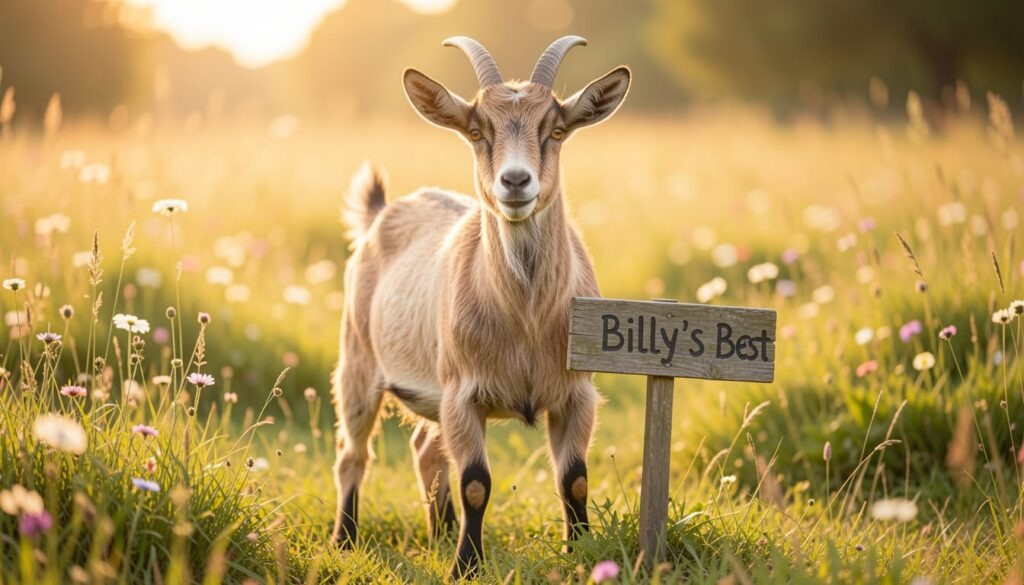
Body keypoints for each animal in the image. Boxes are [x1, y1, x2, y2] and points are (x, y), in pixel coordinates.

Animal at [331, 36, 630, 579]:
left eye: (555, 130)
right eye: (477, 131)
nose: (515, 181)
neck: (527, 320)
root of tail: (379, 213)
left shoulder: (577, 393)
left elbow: (574, 478)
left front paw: (583, 553)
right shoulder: (463, 393)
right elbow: (475, 482)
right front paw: (466, 567)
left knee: (424, 449)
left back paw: (440, 532)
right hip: (359, 360)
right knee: (353, 452)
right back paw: (345, 539)